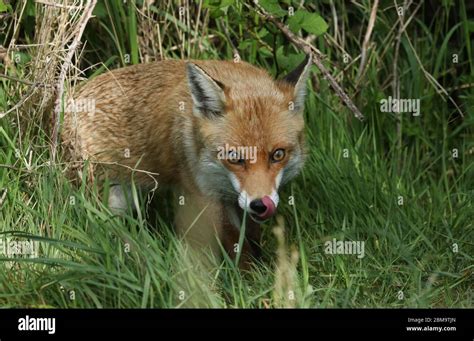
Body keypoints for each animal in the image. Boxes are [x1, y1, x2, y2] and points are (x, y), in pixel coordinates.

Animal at [62, 55, 314, 268]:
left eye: (278, 155)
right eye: (234, 158)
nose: (260, 204)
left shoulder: (237, 200)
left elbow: (251, 234)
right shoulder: (204, 194)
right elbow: (235, 244)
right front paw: (248, 279)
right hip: (107, 201)